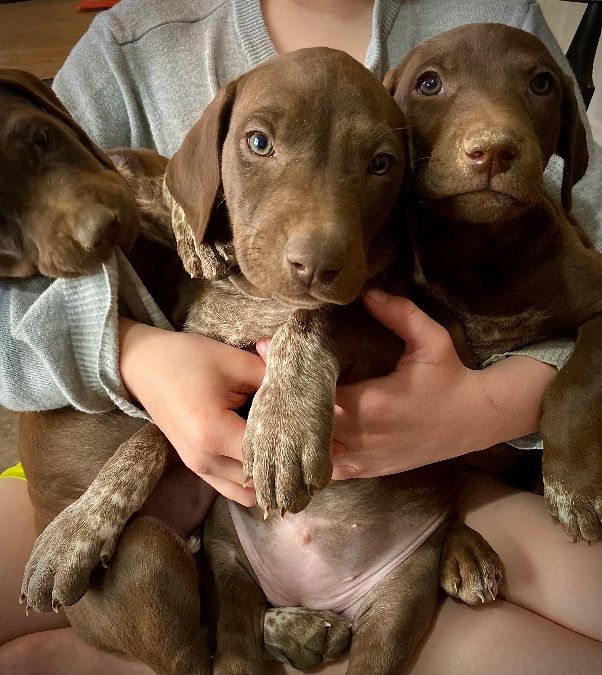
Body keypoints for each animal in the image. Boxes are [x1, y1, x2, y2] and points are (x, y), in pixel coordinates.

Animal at [384, 23, 600, 544]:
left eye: (541, 84)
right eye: (429, 84)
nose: (494, 150)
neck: (484, 248)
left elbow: (578, 382)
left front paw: (573, 486)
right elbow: (441, 315)